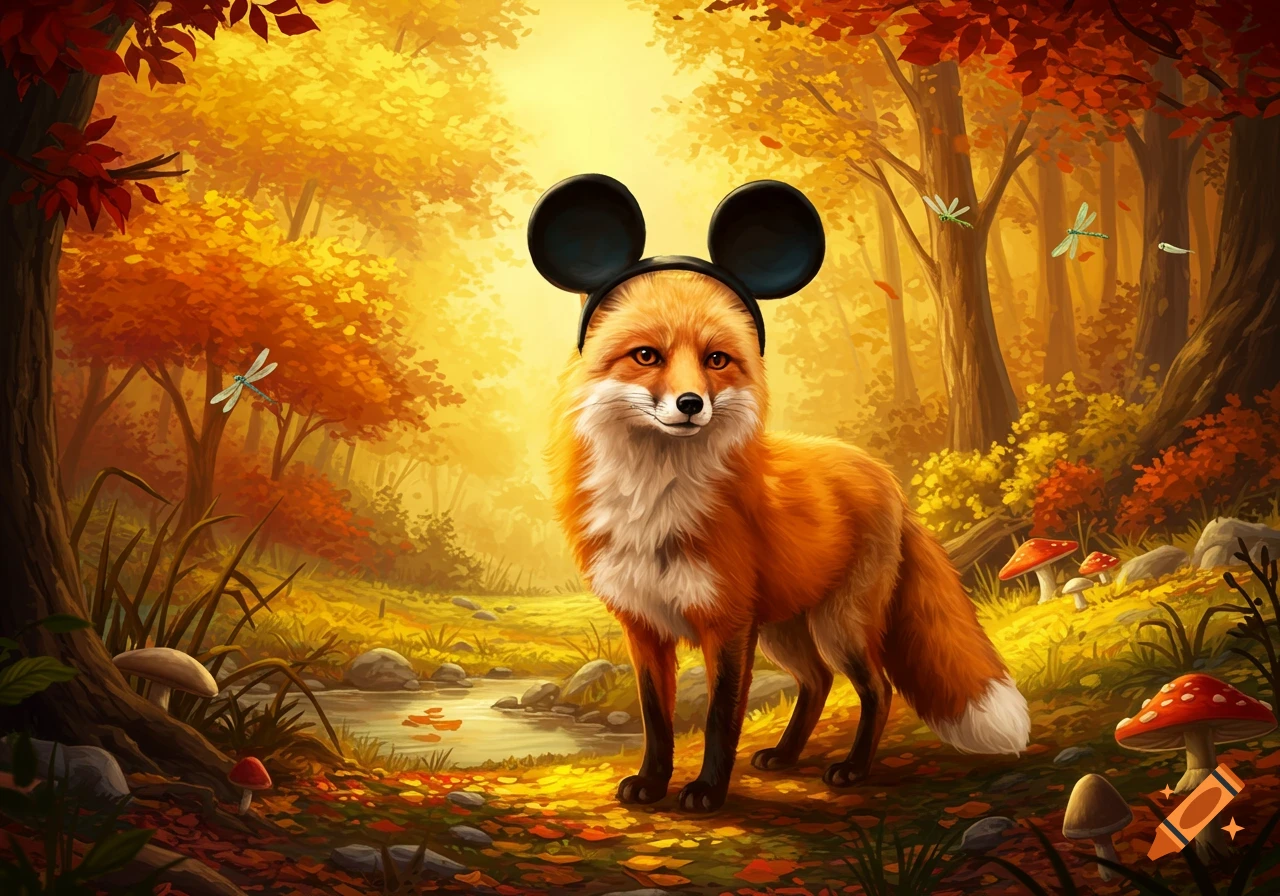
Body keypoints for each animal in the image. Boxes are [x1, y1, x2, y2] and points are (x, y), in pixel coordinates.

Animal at [533, 174, 1030, 814]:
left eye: (717, 359)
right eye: (647, 355)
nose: (691, 403)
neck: (655, 500)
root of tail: (884, 475)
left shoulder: (727, 624)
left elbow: (720, 719)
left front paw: (707, 792)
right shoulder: (644, 627)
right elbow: (657, 720)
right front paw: (650, 783)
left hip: (837, 625)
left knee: (876, 687)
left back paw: (852, 769)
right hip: (784, 630)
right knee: (817, 681)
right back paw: (787, 756)